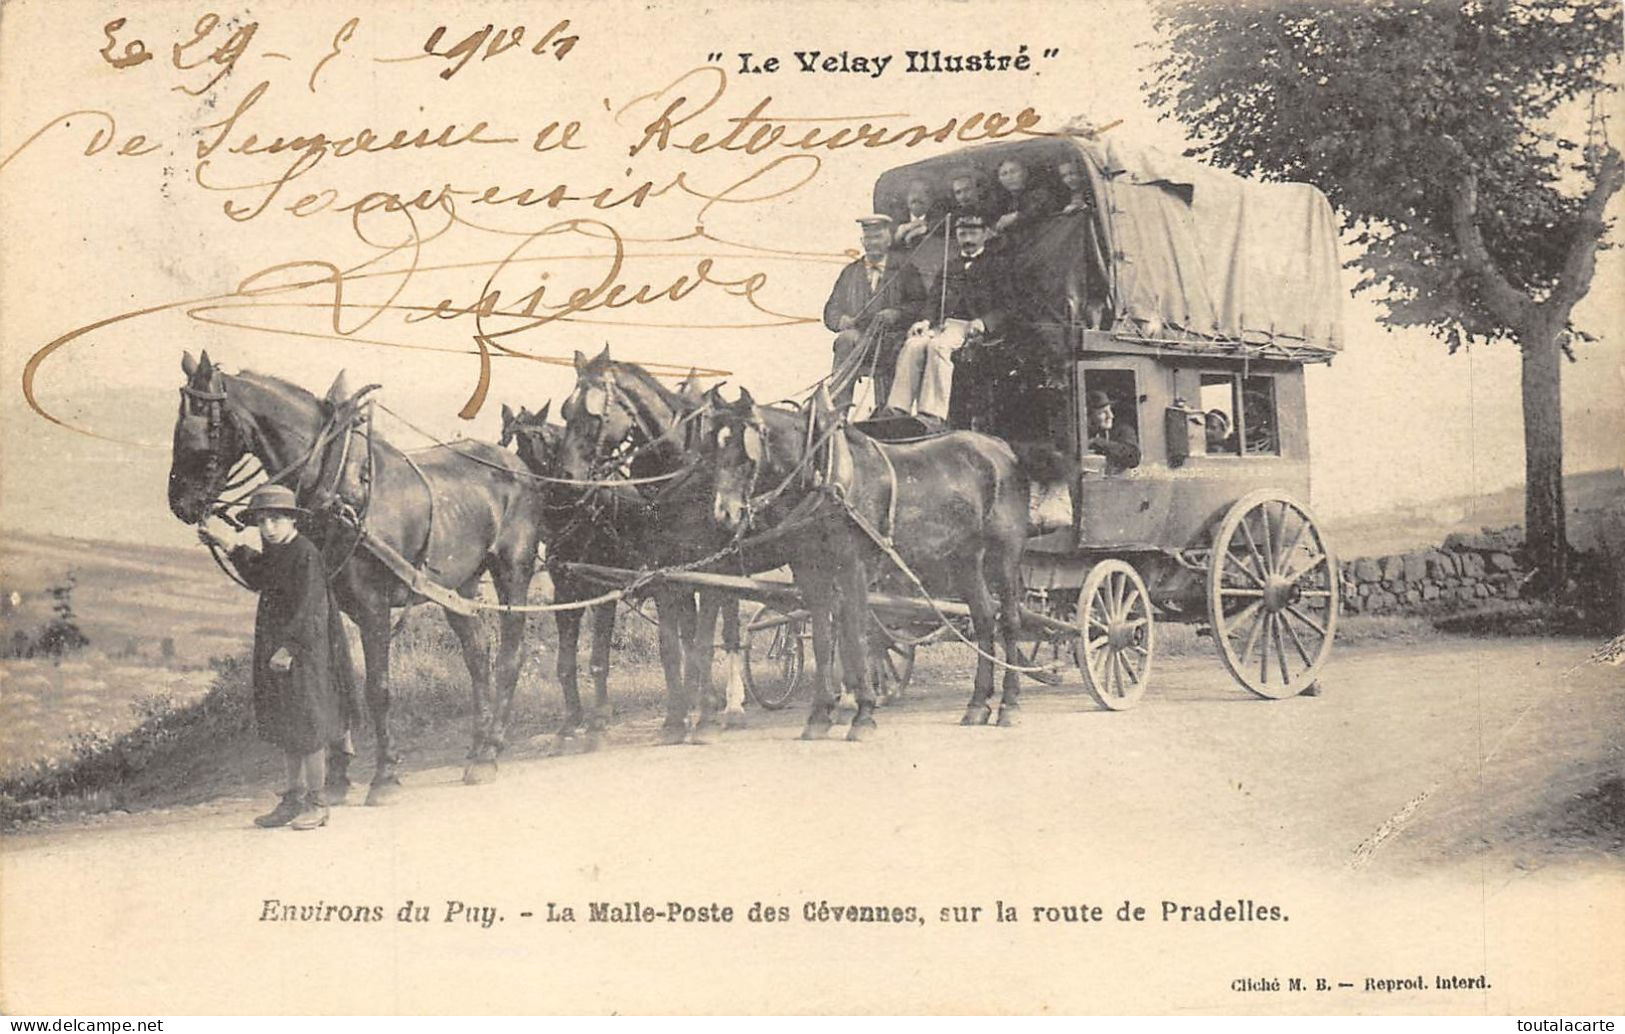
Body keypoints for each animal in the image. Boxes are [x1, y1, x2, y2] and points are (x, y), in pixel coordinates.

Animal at [165, 349, 549, 799]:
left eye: (201, 426)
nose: (180, 503)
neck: (336, 483)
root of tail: (518, 466)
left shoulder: (372, 605)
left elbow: (376, 689)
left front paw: (384, 774)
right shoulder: (331, 599)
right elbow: (338, 682)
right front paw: (336, 777)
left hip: (513, 572)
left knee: (509, 657)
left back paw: (490, 752)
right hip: (458, 585)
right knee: (477, 656)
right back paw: (476, 747)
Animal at [708, 386, 1027, 734]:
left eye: (744, 453)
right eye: (713, 448)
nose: (724, 514)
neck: (828, 476)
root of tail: (1000, 448)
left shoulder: (854, 567)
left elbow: (856, 634)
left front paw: (862, 714)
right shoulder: (811, 570)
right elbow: (823, 637)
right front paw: (820, 716)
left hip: (1004, 552)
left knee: (1009, 621)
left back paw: (1009, 705)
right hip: (964, 557)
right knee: (984, 617)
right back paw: (977, 704)